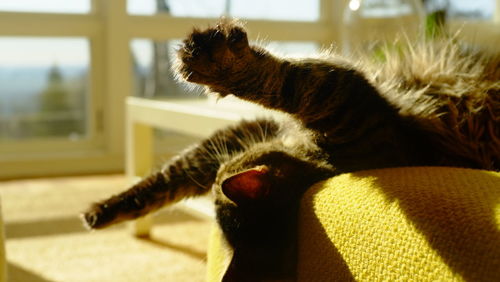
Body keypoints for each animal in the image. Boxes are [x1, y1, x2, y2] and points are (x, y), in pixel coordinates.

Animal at [83, 19, 500, 280]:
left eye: (222, 182)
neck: (320, 163)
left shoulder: (348, 99)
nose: (218, 174)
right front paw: (100, 211)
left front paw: (216, 61)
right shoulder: (250, 131)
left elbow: (285, 81)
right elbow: (169, 177)